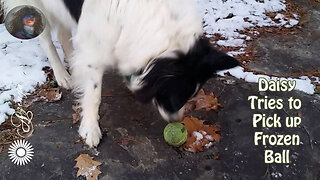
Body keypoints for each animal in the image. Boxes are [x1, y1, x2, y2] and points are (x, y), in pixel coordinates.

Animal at [1, 0, 239, 147]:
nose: (176, 120)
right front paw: (90, 128)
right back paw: (62, 75)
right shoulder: (96, 47)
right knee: (45, 39)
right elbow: (94, 95)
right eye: (172, 97)